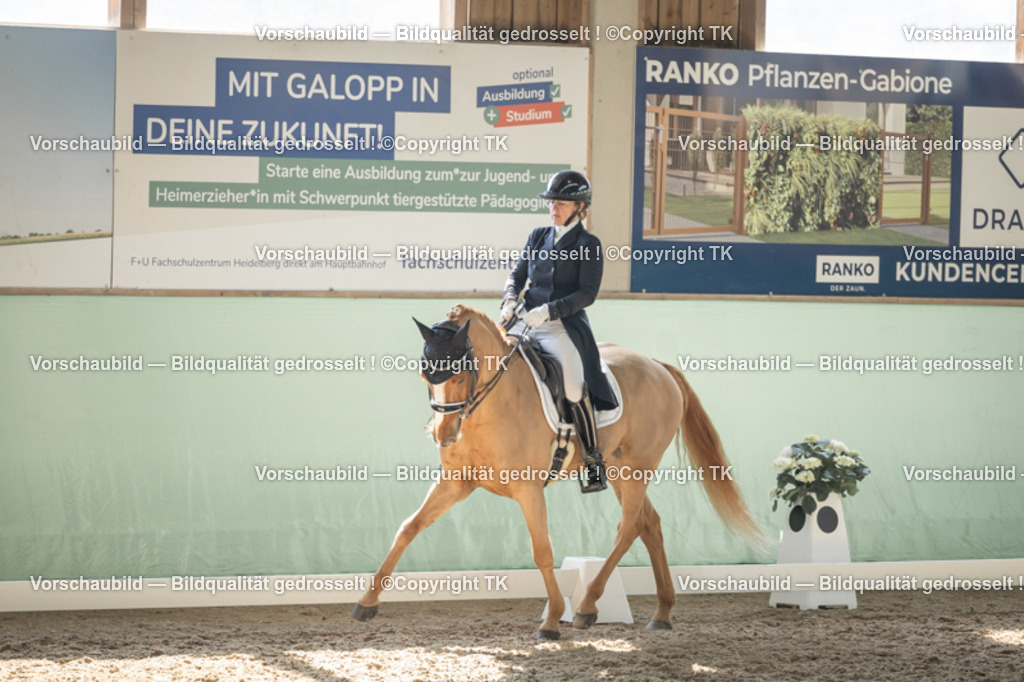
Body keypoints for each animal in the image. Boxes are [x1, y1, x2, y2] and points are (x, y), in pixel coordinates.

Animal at [352, 304, 762, 639]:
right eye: (425, 374)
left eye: (460, 373)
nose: (443, 434)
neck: (490, 407)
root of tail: (658, 366)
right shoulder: (456, 484)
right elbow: (408, 528)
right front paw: (367, 602)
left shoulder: (528, 490)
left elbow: (542, 551)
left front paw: (552, 620)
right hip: (617, 469)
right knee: (649, 524)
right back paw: (661, 613)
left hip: (637, 468)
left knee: (627, 528)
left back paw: (587, 607)